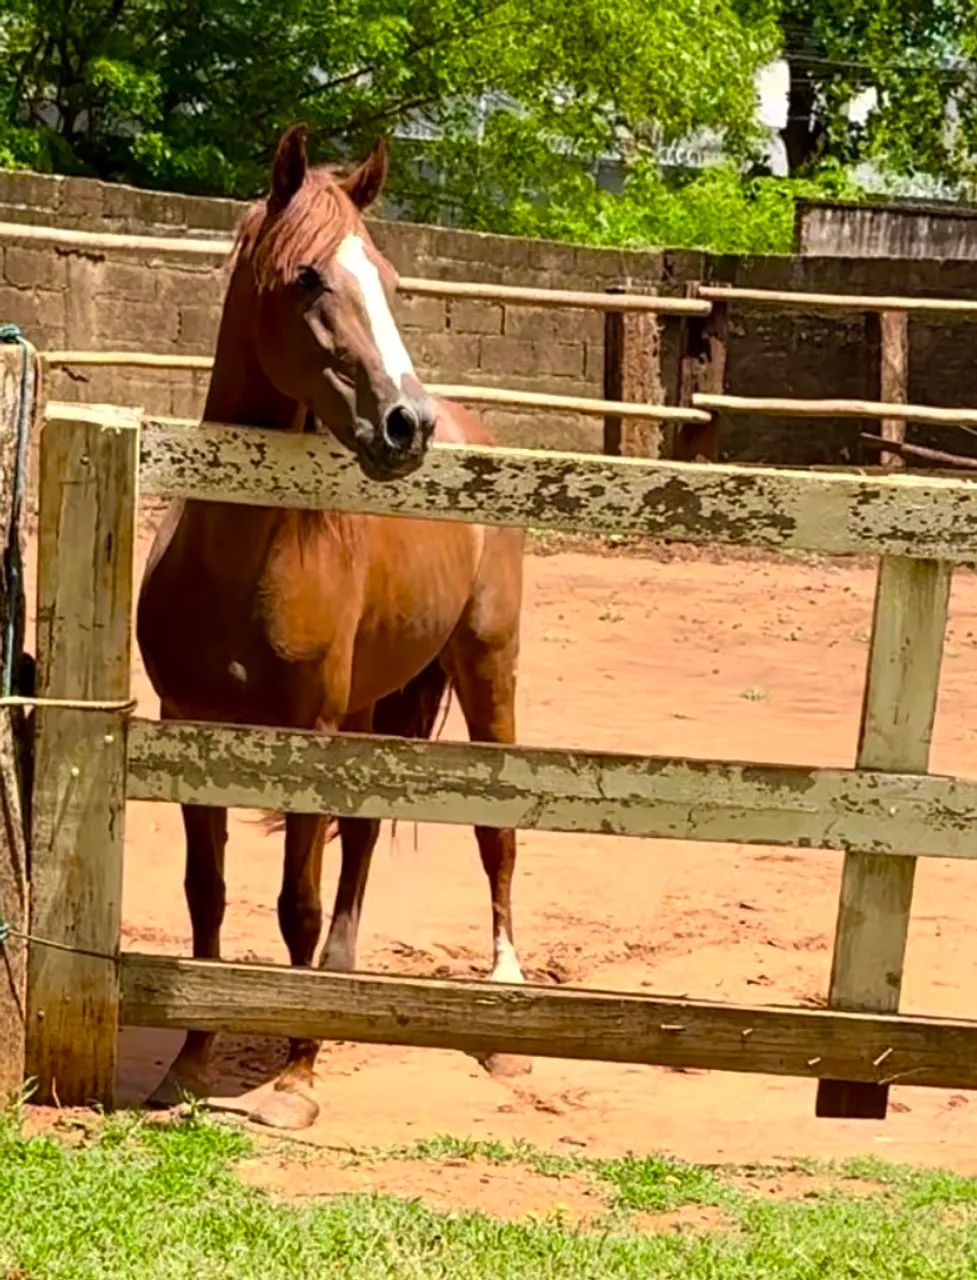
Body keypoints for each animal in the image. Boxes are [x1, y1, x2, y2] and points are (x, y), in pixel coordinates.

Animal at [136, 123, 527, 1130]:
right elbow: (206, 899)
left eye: (387, 280)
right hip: (378, 705)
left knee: (495, 835)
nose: (404, 424)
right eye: (310, 276)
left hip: (486, 672)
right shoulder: (194, 732)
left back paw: (505, 1018)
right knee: (361, 834)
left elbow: (294, 906)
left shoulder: (304, 731)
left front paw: (293, 1083)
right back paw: (342, 987)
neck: (240, 560)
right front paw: (190, 1064)